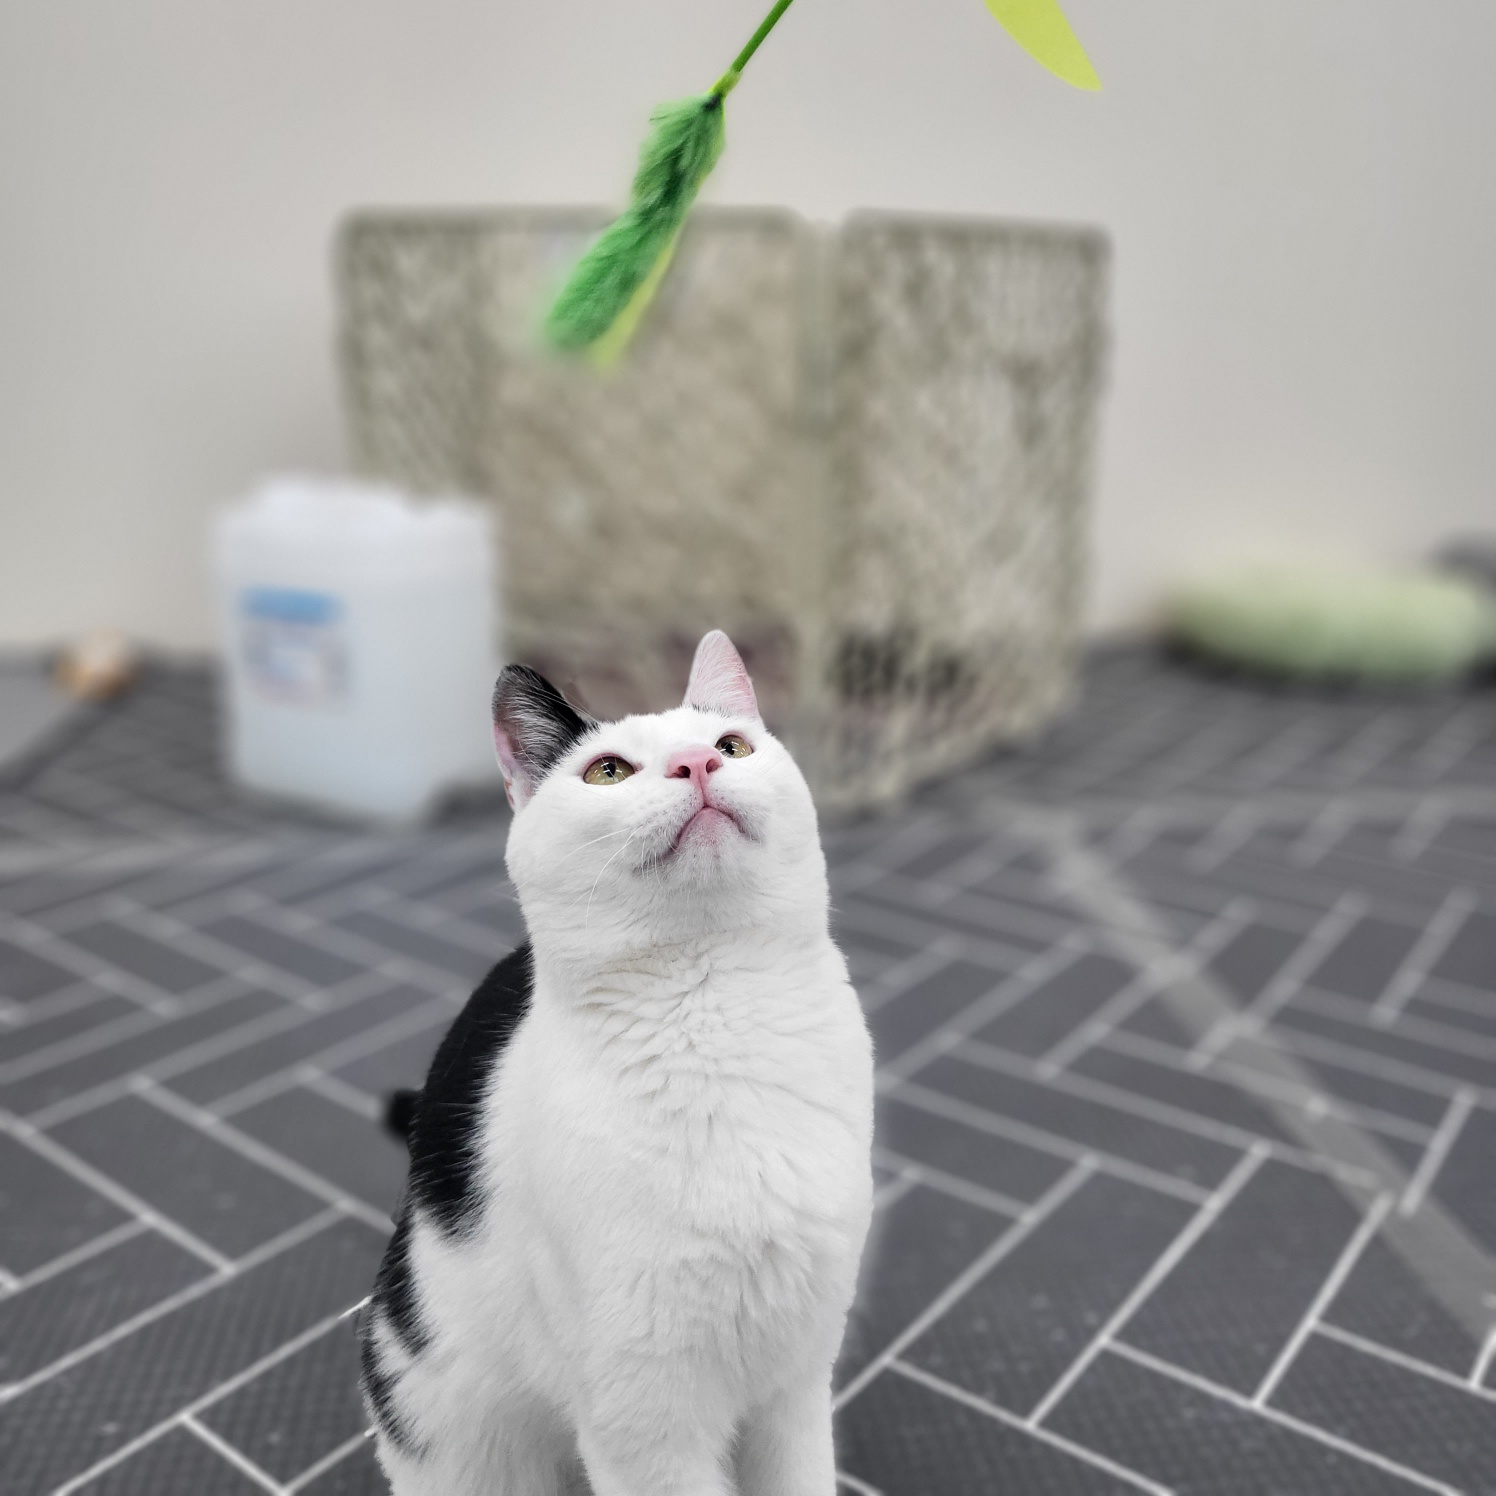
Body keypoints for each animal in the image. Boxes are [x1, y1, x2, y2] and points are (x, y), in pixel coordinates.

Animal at [361, 630, 875, 1496]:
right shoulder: (645, 1425)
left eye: (732, 747)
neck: (716, 1007)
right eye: (609, 771)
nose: (697, 765)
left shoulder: (797, 1380)